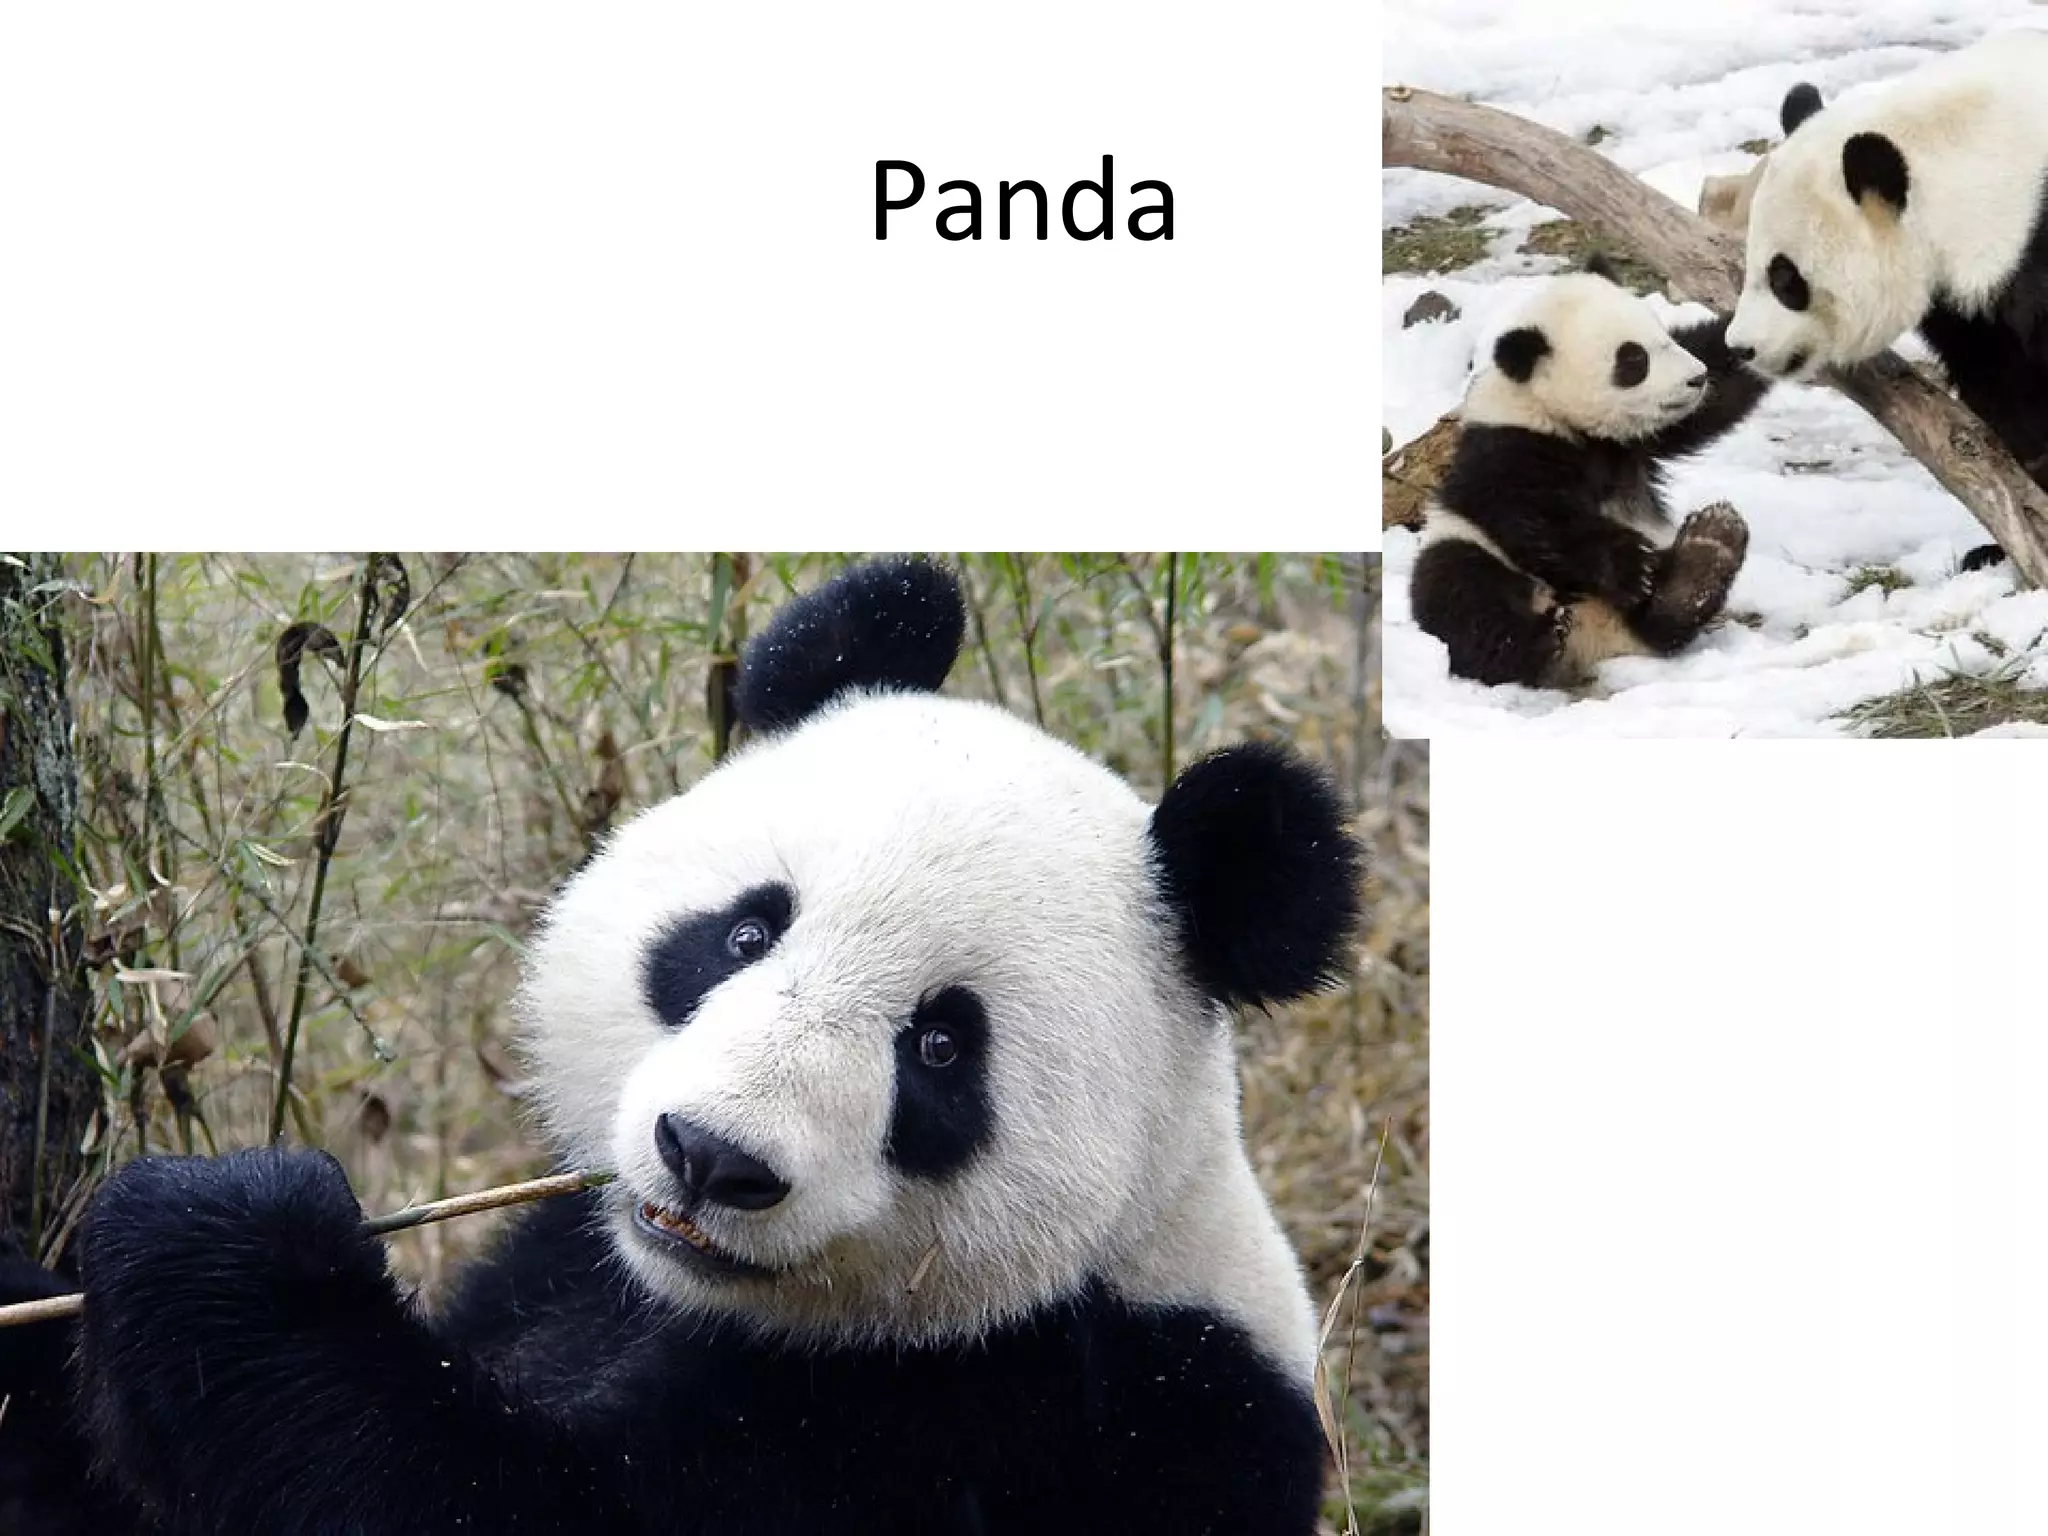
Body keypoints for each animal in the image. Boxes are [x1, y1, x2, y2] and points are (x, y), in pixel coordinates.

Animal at [0, 559, 1362, 1535]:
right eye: (745, 931)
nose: (711, 1158)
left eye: (937, 1049)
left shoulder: (1016, 1417)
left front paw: (228, 1236)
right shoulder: (564, 1260)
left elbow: (482, 1503)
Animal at [1409, 259, 1768, 688]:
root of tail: (1596, 640)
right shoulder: (1506, 448)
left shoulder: (1640, 442)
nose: (1696, 378)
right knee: (1462, 594)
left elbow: (1722, 385)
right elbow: (1532, 516)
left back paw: (1708, 550)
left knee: (1661, 621)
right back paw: (1541, 639)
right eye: (1633, 360)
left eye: (1662, 335)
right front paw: (1630, 564)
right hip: (1466, 549)